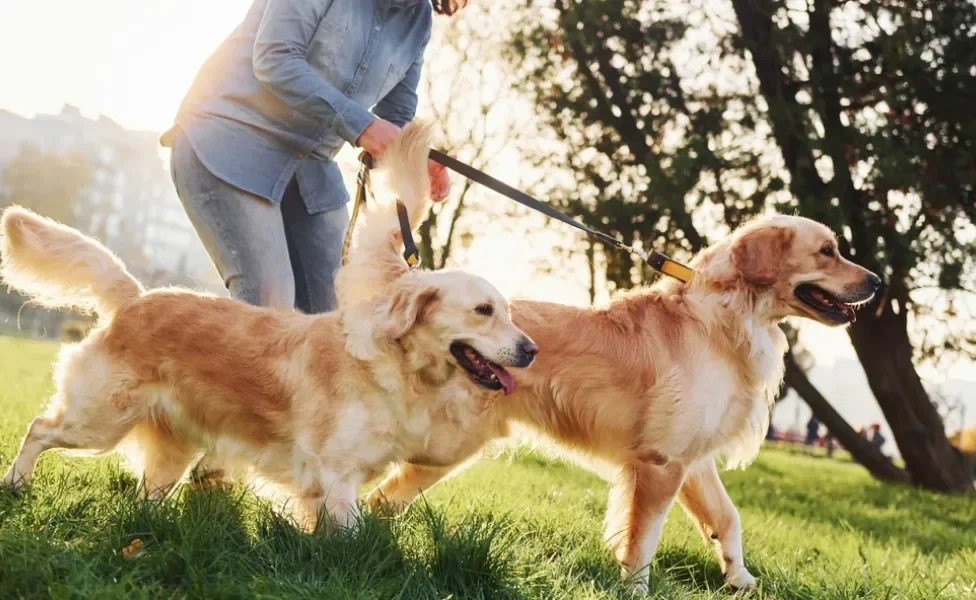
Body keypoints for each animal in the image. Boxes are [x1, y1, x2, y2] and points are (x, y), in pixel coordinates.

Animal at [0, 125, 536, 528]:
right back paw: (17, 484)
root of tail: (136, 297)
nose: (531, 350)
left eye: (509, 313)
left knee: (148, 493)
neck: (394, 366)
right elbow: (356, 535)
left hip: (170, 447)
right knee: (39, 429)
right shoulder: (338, 475)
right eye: (483, 310)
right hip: (98, 419)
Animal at [344, 141, 884, 584]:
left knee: (381, 499)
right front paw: (637, 589)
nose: (878, 281)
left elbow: (727, 518)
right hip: (444, 443)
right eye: (828, 251)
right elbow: (643, 542)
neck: (728, 316)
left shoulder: (692, 459)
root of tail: (419, 286)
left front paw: (742, 581)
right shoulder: (661, 462)